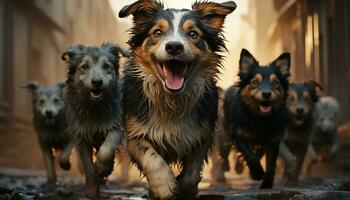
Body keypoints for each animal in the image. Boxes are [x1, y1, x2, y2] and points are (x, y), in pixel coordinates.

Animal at [60, 42, 128, 198]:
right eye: (85, 66)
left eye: (106, 66)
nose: (97, 82)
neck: (94, 107)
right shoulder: (81, 137)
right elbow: (88, 168)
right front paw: (91, 192)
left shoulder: (116, 126)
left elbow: (106, 149)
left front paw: (103, 168)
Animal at [119, 0, 237, 199]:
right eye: (157, 32)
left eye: (193, 34)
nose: (174, 46)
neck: (171, 100)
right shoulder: (135, 132)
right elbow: (151, 158)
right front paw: (164, 186)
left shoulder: (202, 133)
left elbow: (193, 169)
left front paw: (185, 189)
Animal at [224, 49, 290, 188]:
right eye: (254, 82)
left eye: (275, 82)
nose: (266, 94)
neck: (260, 118)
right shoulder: (237, 134)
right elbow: (250, 155)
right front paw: (257, 173)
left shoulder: (273, 140)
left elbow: (271, 164)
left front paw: (267, 184)